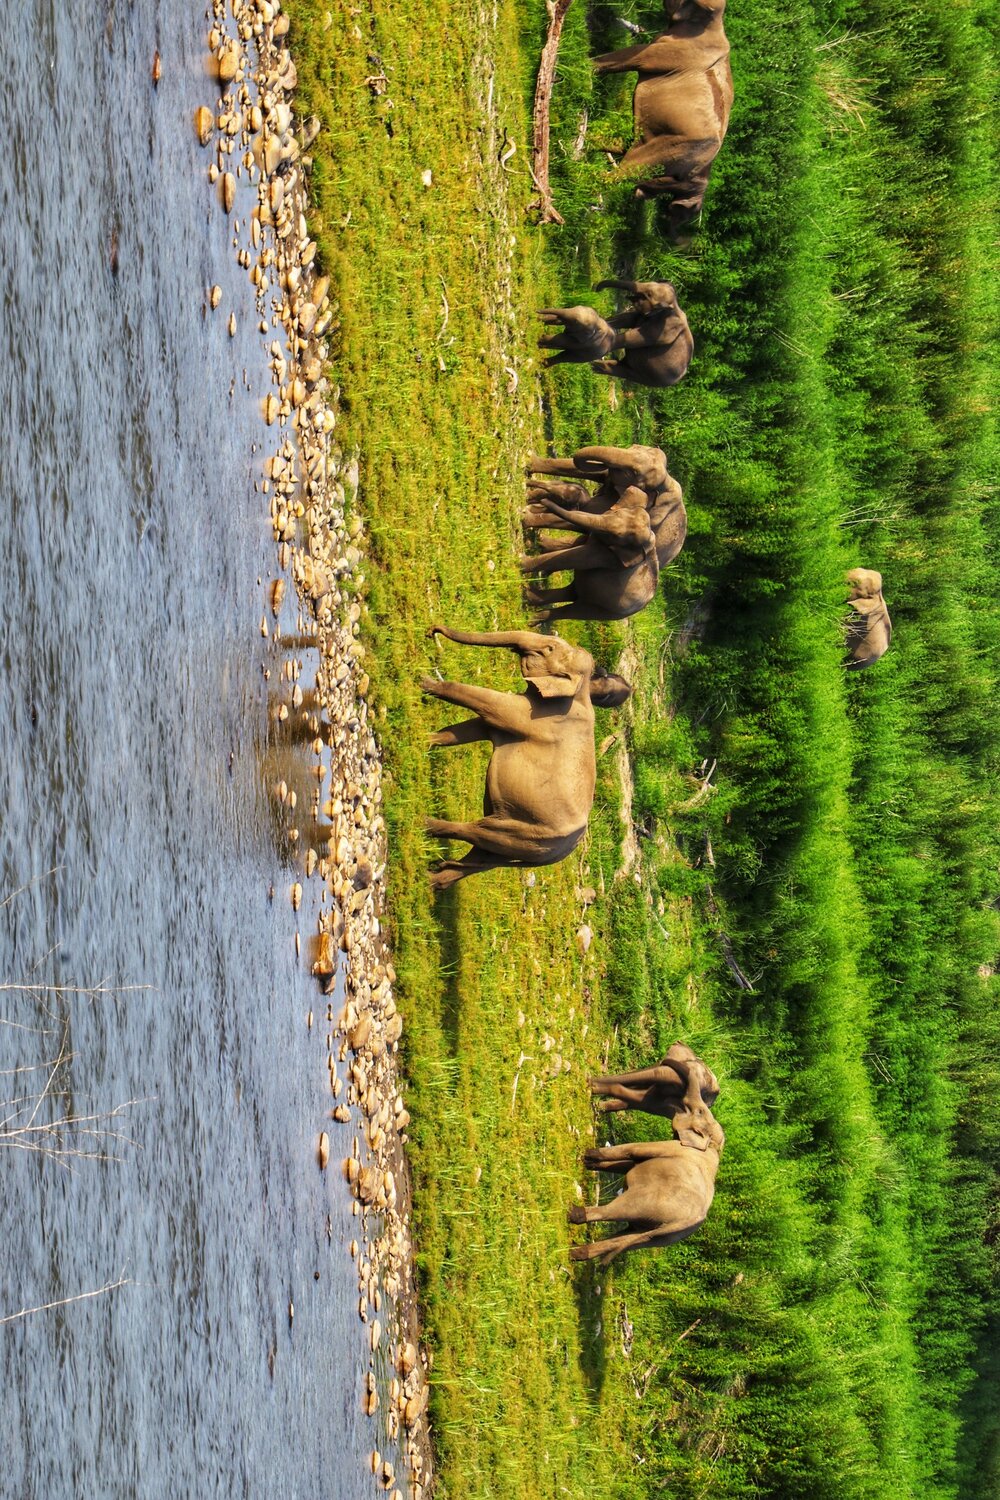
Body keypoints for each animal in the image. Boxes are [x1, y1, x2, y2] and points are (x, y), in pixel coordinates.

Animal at [423, 626, 631, 889]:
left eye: (550, 648)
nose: (432, 631)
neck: (581, 691)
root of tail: (562, 853)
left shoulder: (538, 717)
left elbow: (488, 706)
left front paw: (423, 682)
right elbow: (469, 730)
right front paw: (422, 741)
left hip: (530, 835)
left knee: (480, 832)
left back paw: (424, 825)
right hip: (525, 842)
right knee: (485, 854)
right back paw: (429, 883)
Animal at [569, 1104, 724, 1263]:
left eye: (699, 1112)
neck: (714, 1145)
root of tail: (689, 1222)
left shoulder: (676, 1147)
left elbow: (631, 1151)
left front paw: (584, 1154)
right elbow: (625, 1165)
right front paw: (586, 1162)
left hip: (651, 1204)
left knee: (615, 1211)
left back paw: (572, 1213)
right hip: (663, 1237)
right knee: (627, 1238)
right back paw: (573, 1253)